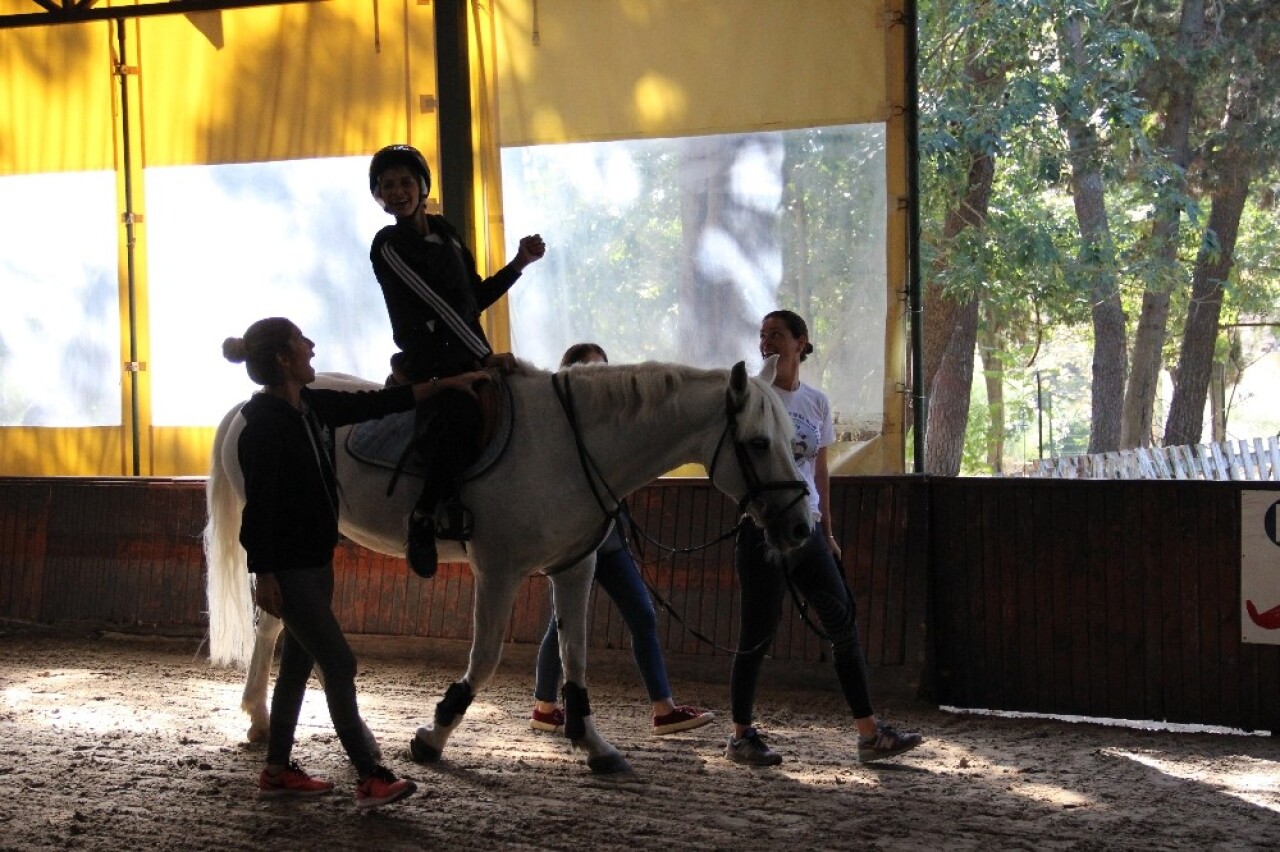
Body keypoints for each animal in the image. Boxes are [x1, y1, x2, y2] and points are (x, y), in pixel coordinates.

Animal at [206, 355, 814, 772]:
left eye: (793, 442)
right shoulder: (497, 571)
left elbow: (575, 656)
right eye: (758, 444)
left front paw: (592, 743)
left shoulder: (575, 568)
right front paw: (433, 735)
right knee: (271, 623)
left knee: (282, 623)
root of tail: (248, 406)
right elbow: (487, 657)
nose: (800, 530)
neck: (569, 447)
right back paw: (261, 718)